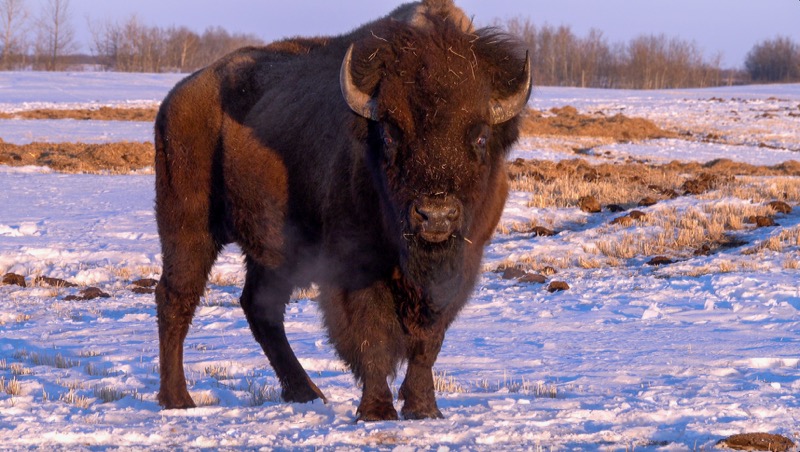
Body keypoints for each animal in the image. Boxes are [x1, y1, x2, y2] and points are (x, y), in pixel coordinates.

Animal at [154, 0, 531, 421]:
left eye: (480, 135)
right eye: (390, 132)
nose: (435, 214)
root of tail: (179, 96)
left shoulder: (461, 267)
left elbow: (427, 342)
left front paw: (424, 409)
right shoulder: (354, 264)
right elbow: (371, 335)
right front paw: (377, 410)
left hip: (272, 253)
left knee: (260, 307)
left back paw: (305, 392)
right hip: (188, 227)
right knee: (176, 298)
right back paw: (178, 399)